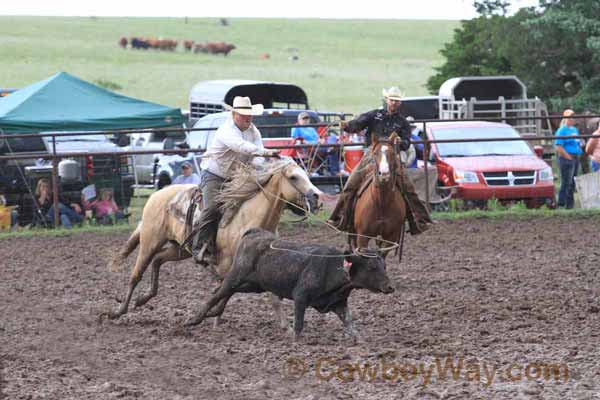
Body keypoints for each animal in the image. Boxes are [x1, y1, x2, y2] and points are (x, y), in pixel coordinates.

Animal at [105, 158, 322, 324]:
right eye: (293, 177)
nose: (317, 197)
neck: (248, 219)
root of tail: (157, 194)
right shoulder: (227, 266)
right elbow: (224, 290)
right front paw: (210, 316)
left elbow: (257, 294)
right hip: (150, 242)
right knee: (136, 274)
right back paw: (118, 311)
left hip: (180, 249)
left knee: (158, 260)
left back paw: (143, 299)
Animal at [185, 228, 396, 340]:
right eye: (372, 266)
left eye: (384, 265)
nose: (389, 287)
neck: (333, 268)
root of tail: (255, 232)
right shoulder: (300, 296)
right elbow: (299, 323)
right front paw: (295, 340)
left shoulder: (338, 303)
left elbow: (349, 321)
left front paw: (358, 339)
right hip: (236, 275)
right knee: (218, 293)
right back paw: (193, 319)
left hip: (255, 284)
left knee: (225, 292)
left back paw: (214, 313)